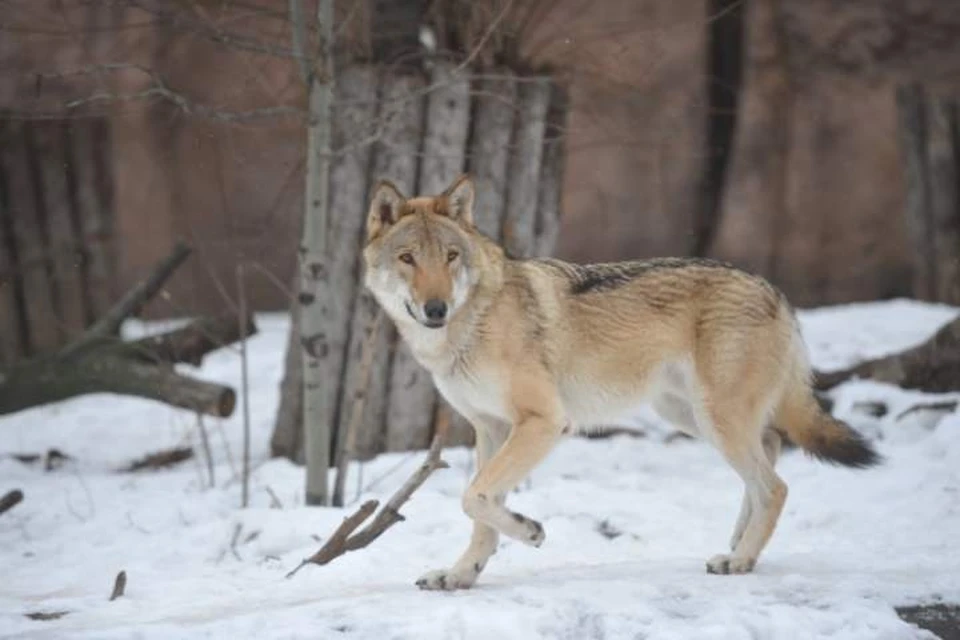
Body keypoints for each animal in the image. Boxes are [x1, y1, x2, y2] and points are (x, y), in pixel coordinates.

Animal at [362, 174, 884, 592]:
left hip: (716, 419)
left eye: (451, 257)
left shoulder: (544, 421)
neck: (472, 323)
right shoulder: (489, 429)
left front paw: (530, 530)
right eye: (407, 258)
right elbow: (480, 513)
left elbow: (474, 497)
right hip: (692, 417)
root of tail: (775, 290)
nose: (436, 309)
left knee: (775, 486)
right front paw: (460, 576)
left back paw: (741, 559)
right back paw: (737, 546)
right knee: (771, 450)